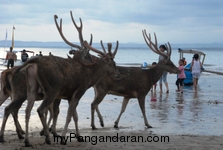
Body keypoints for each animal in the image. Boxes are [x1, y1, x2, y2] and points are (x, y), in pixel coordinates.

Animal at [4, 12, 119, 146]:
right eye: (112, 63)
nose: (118, 74)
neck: (89, 77)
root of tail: (34, 62)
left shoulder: (68, 96)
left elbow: (74, 115)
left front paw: (79, 136)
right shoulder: (78, 92)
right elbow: (68, 115)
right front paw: (63, 138)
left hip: (32, 89)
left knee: (27, 110)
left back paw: (27, 140)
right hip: (50, 89)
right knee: (38, 109)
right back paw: (45, 138)